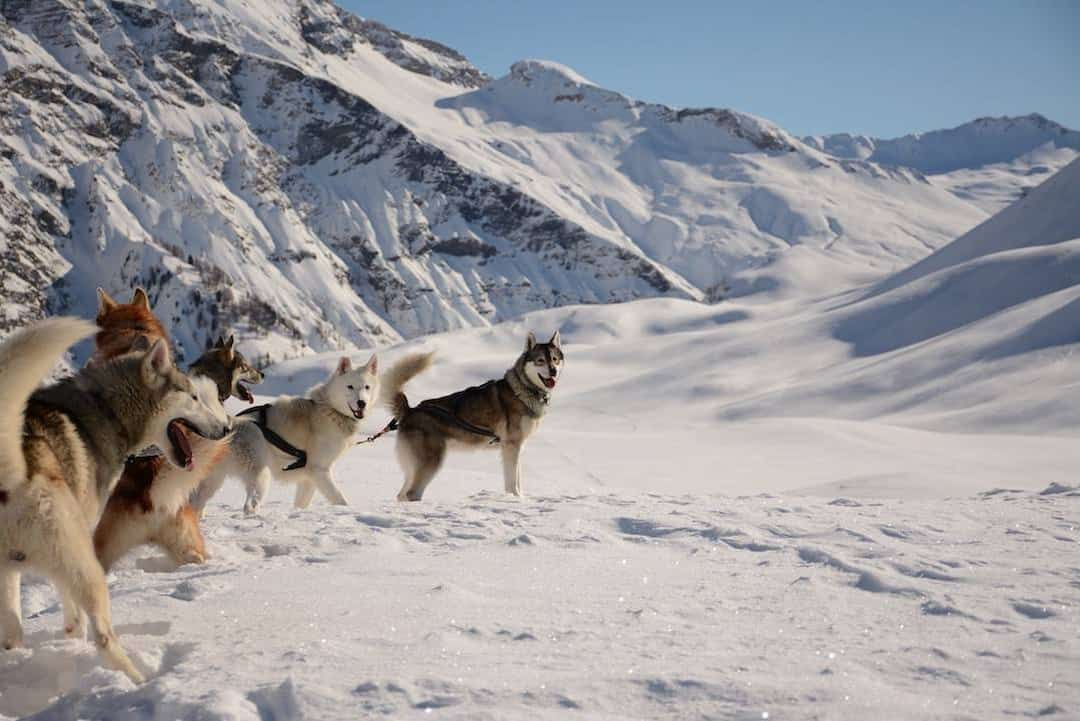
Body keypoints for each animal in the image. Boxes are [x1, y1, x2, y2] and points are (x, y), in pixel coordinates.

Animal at [1, 317, 230, 686]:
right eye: (194, 396)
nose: (225, 428)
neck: (105, 410)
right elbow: (74, 617)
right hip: (84, 564)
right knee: (104, 636)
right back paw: (136, 680)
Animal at [190, 354, 380, 511]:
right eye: (350, 387)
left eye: (367, 387)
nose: (361, 403)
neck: (331, 409)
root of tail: (229, 425)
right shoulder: (319, 470)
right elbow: (340, 499)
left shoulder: (309, 479)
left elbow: (301, 504)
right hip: (261, 476)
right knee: (250, 506)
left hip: (212, 482)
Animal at [382, 332, 565, 500]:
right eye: (540, 360)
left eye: (555, 359)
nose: (553, 371)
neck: (523, 390)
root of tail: (410, 410)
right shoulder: (511, 445)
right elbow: (512, 483)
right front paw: (515, 498)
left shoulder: (516, 447)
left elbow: (517, 480)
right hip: (431, 462)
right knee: (411, 494)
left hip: (413, 468)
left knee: (401, 494)